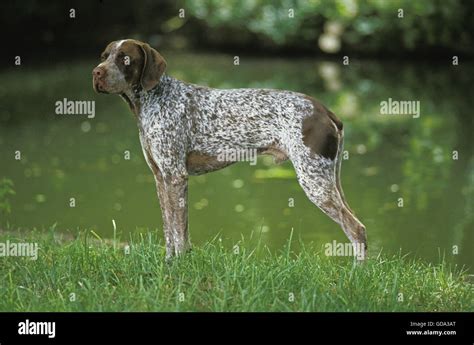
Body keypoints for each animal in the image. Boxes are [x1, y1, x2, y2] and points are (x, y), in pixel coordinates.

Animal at [91, 39, 366, 260]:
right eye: (104, 56)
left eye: (125, 58)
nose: (96, 73)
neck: (154, 99)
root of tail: (324, 110)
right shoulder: (161, 177)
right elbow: (169, 229)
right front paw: (169, 261)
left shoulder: (176, 176)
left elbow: (179, 231)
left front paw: (180, 264)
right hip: (327, 180)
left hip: (314, 181)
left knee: (356, 229)